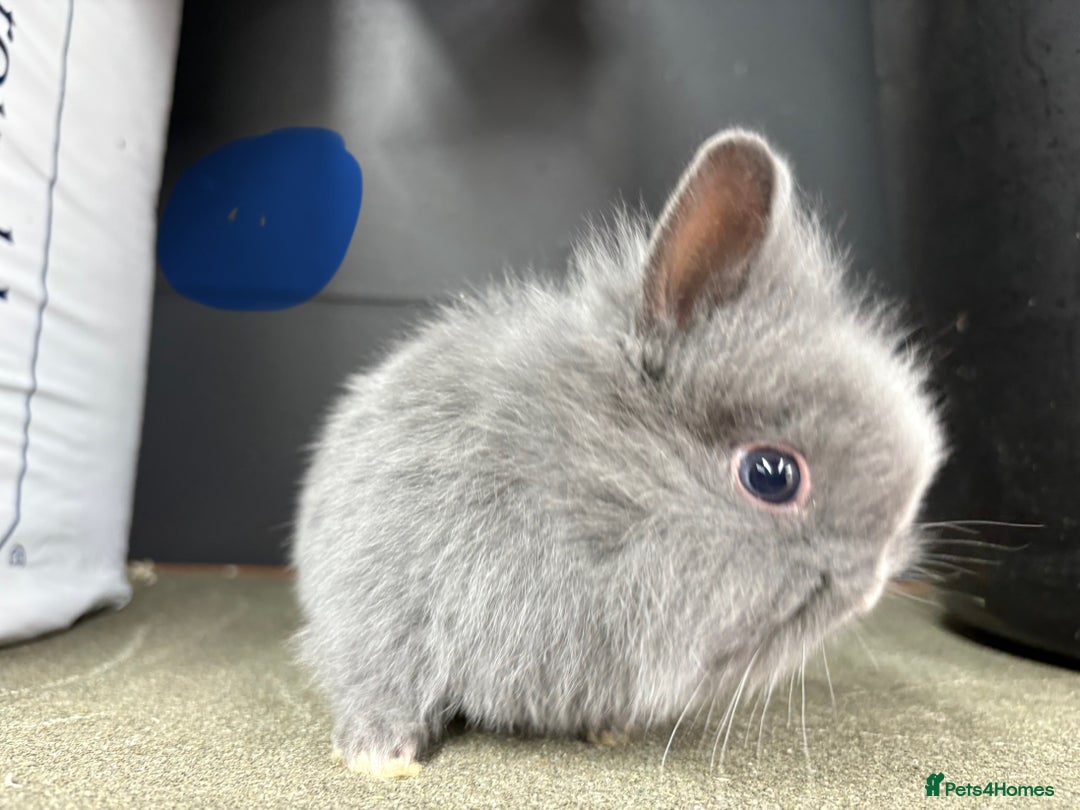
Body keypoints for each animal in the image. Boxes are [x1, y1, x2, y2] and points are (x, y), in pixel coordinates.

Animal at [291, 128, 946, 779]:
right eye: (771, 475)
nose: (871, 588)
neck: (588, 496)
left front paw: (607, 730)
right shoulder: (388, 602)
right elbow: (384, 679)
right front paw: (379, 756)